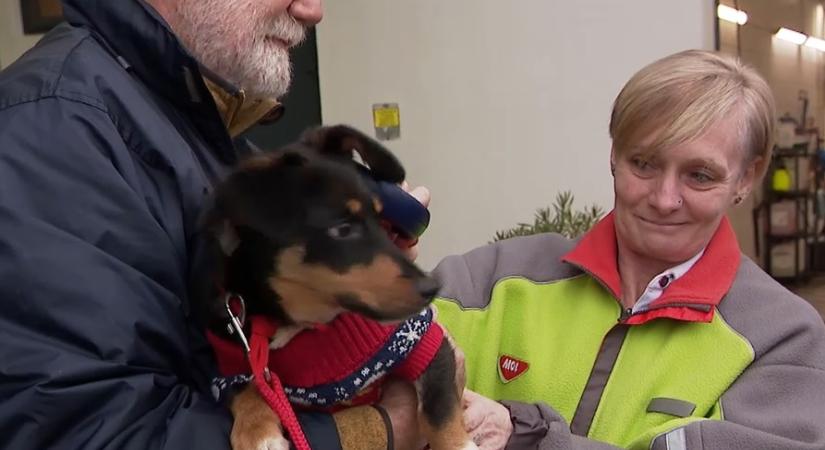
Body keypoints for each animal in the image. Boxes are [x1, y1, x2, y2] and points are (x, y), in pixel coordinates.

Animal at [198, 125, 476, 450]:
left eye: (381, 220)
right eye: (342, 228)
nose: (431, 287)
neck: (302, 323)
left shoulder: (426, 344)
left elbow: (438, 409)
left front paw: (460, 444)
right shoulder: (235, 369)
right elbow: (247, 389)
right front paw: (256, 432)